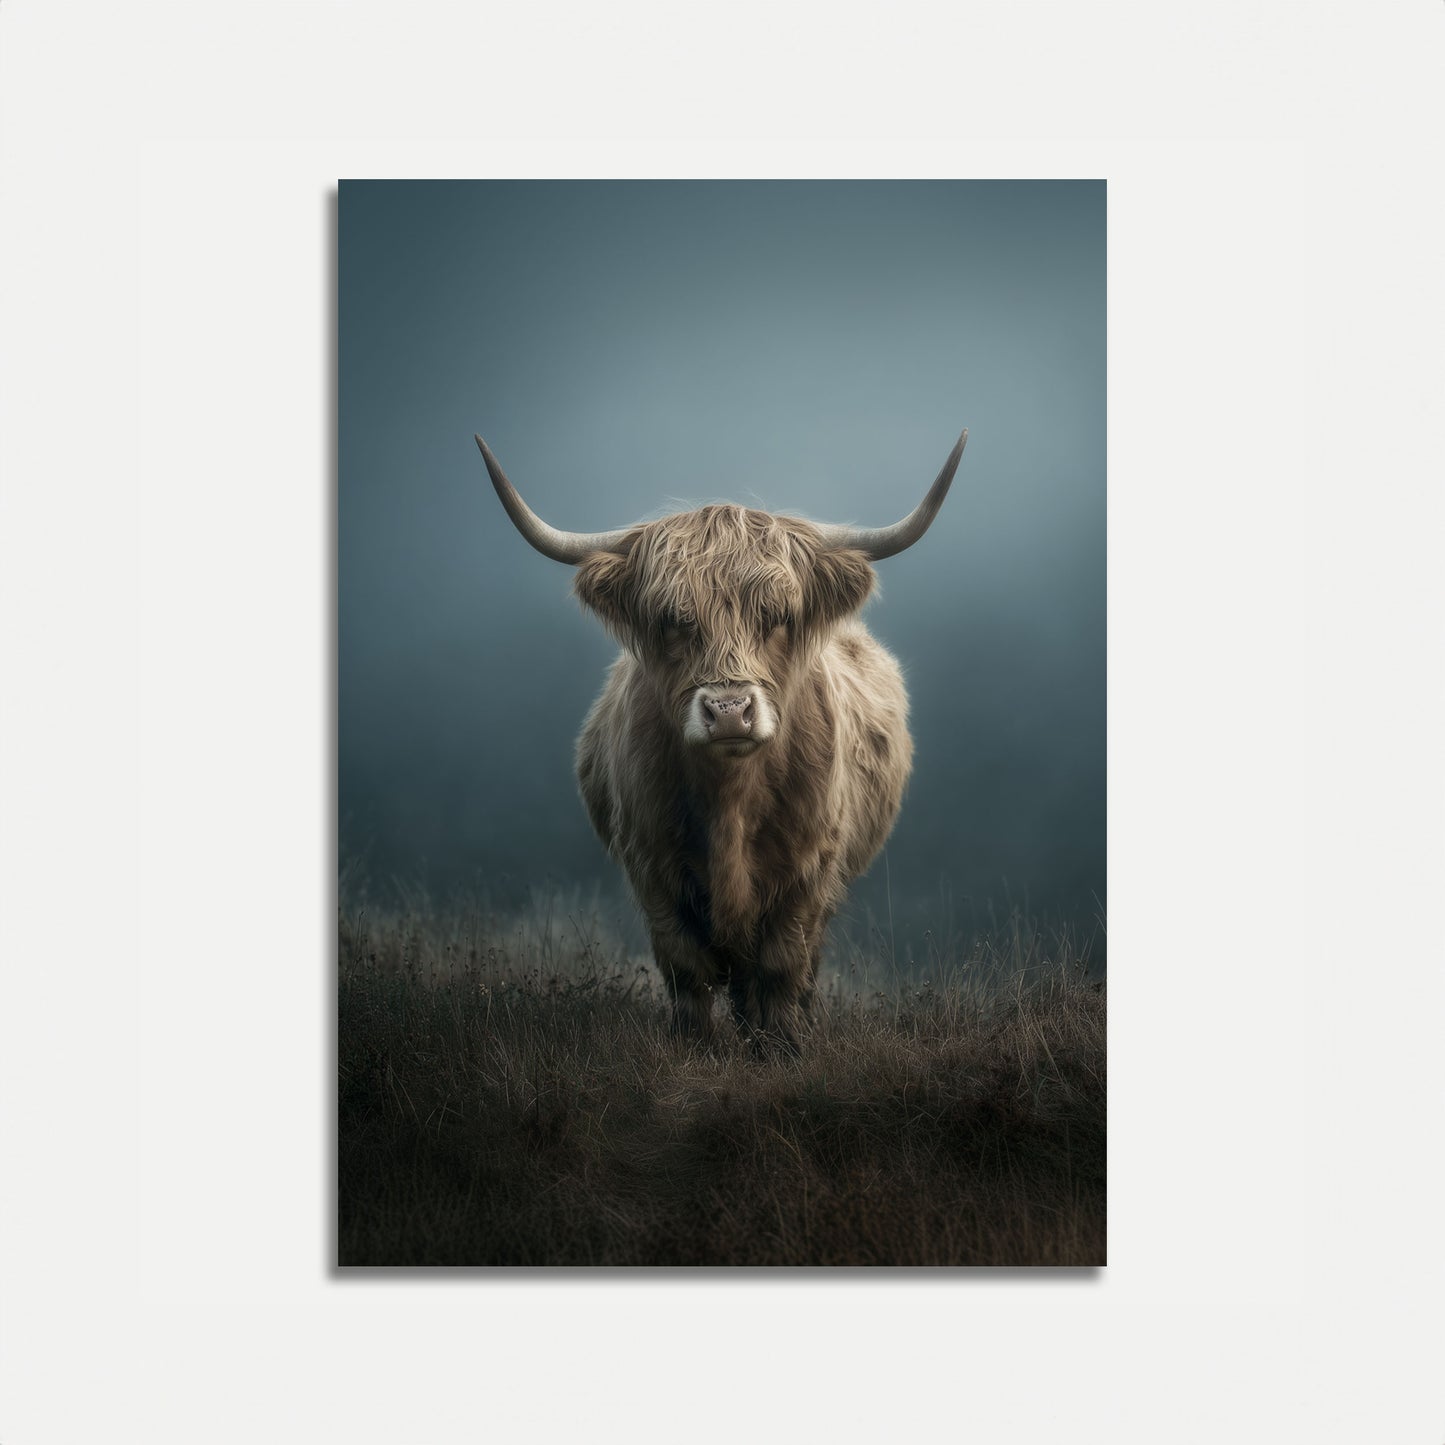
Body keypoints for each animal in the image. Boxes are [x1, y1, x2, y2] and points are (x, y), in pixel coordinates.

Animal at [476, 429, 967, 1055]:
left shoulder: (809, 869)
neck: (731, 800)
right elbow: (686, 968)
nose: (730, 712)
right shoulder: (652, 866)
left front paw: (781, 1046)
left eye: (778, 615)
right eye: (671, 619)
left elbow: (782, 964)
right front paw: (696, 1046)